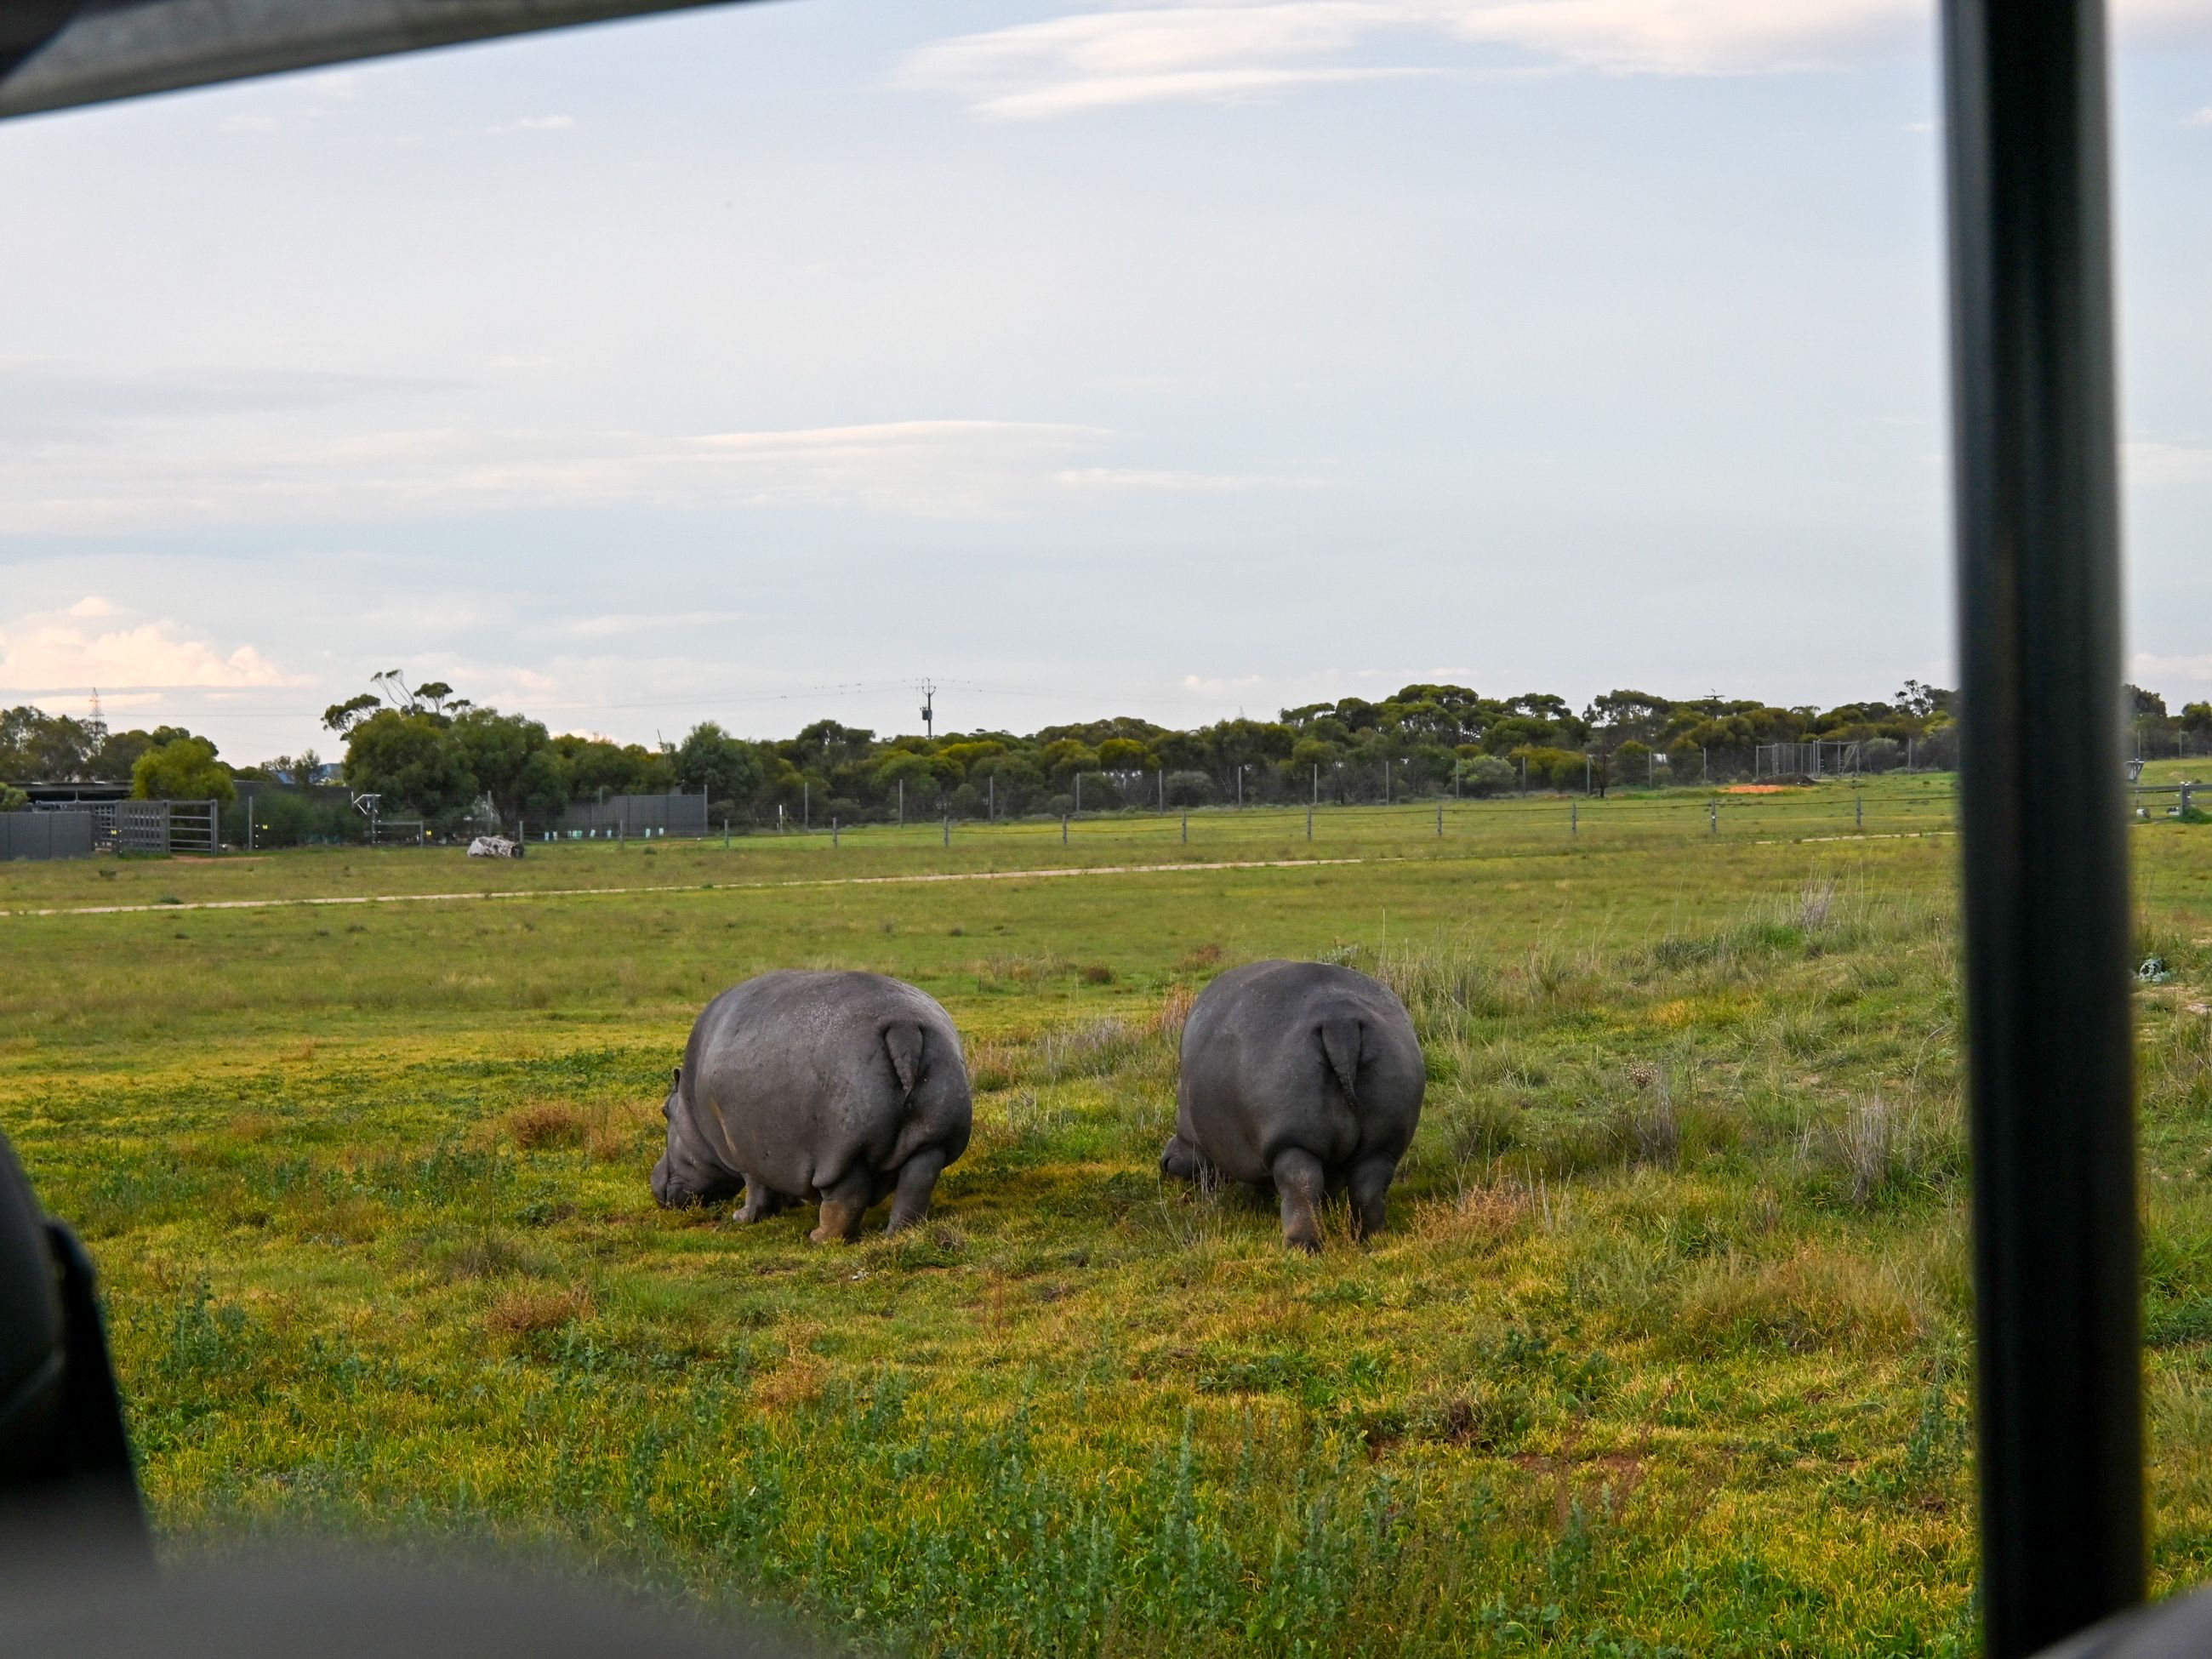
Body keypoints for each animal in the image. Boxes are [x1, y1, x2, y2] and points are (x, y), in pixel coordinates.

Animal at [652, 970, 972, 1242]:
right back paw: (897, 1235)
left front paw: (742, 1217)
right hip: (932, 1141)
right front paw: (790, 1203)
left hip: (842, 1151)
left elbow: (756, 1188)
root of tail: (903, 1026)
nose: (654, 1182)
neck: (690, 1104)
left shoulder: (742, 1150)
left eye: (665, 1111)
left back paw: (819, 1237)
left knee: (848, 1195)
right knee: (915, 1185)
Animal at [1161, 959, 1424, 1250]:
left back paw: (1301, 1246)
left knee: (1301, 1185)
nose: (1164, 1161)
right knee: (1367, 1187)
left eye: (1176, 1110)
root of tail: (1339, 1023)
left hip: (1291, 1143)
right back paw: (1368, 1240)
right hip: (1383, 1143)